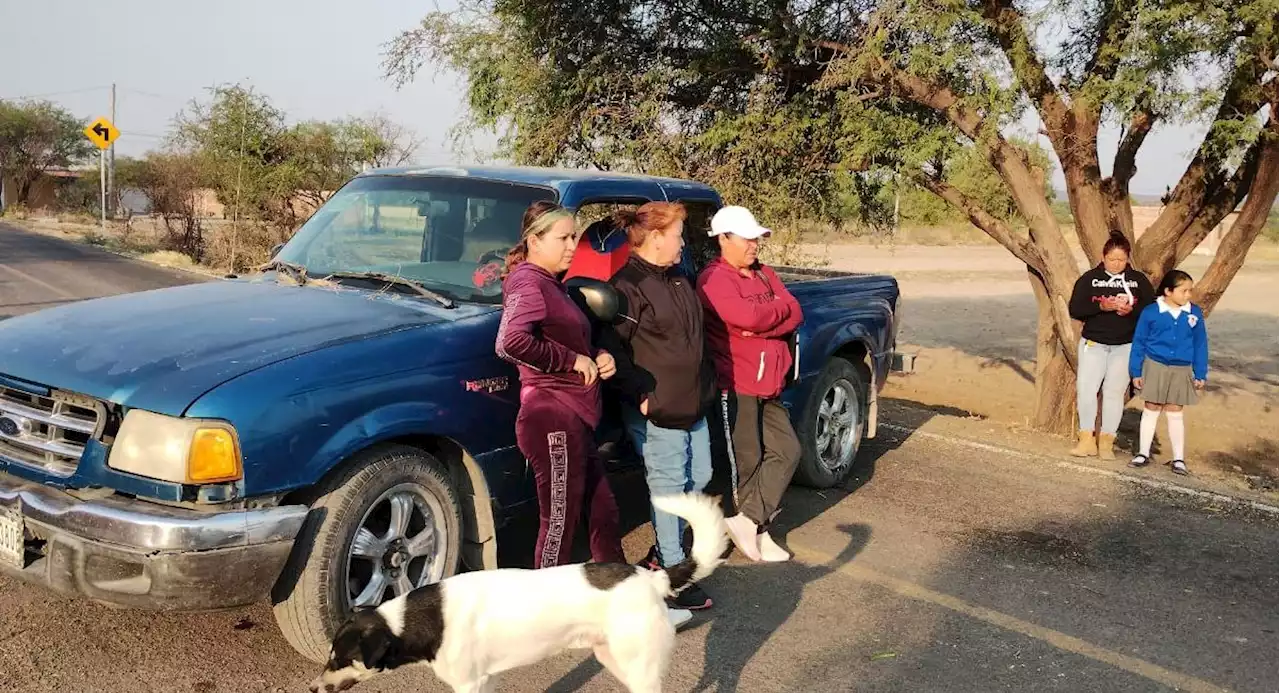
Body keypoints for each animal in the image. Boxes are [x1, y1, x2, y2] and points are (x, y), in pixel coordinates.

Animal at [311, 491, 732, 691]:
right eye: (330, 656)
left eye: (340, 658)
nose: (313, 688)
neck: (416, 619)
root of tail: (649, 578)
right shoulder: (487, 681)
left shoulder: (469, 684)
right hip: (612, 657)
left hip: (638, 664)